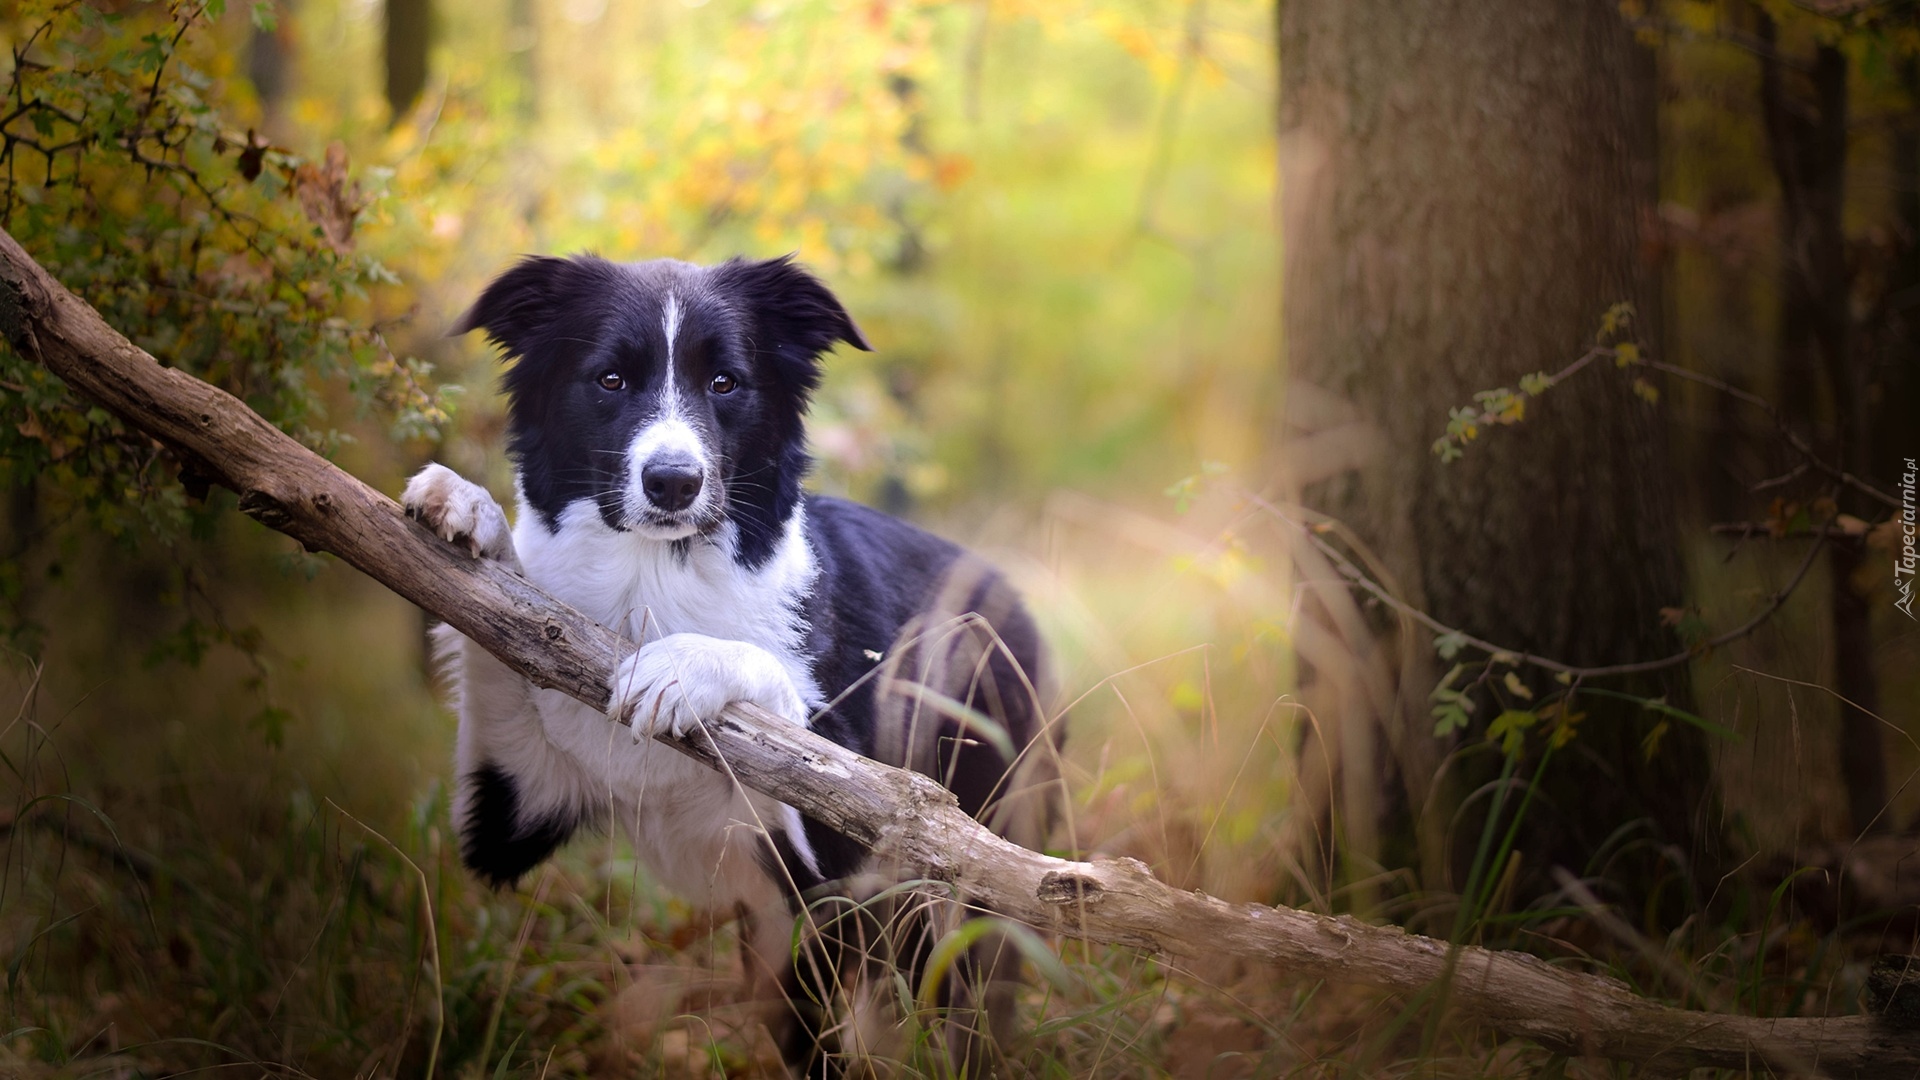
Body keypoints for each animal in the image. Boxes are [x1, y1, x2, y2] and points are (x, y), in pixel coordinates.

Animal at [407, 249, 1067, 1068]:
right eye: (610, 379)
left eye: (725, 382)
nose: (674, 483)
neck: (655, 573)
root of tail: (1015, 600)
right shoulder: (517, 806)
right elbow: (508, 639)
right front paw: (468, 509)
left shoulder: (853, 846)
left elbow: (799, 726)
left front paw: (684, 666)